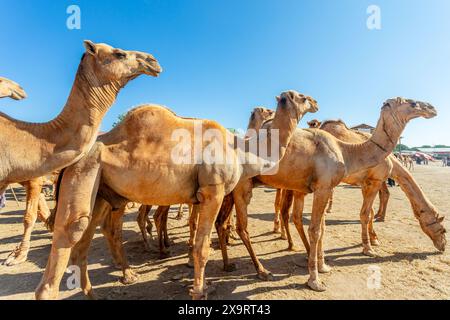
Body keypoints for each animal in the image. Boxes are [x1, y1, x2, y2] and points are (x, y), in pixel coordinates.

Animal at [34, 89, 316, 298]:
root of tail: (75, 156)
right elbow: (202, 246)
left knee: (85, 243)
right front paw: (200, 290)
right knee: (69, 241)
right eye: (301, 96)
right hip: (84, 171)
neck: (240, 150)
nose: (315, 101)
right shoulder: (213, 191)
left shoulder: (202, 197)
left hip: (101, 191)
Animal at [214, 96, 440, 292]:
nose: (431, 108)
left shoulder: (327, 187)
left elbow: (322, 227)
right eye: (412, 102)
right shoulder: (335, 186)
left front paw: (322, 266)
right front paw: (315, 279)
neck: (346, 151)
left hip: (233, 189)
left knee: (223, 222)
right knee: (242, 227)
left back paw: (228, 265)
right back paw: (262, 270)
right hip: (243, 187)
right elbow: (318, 228)